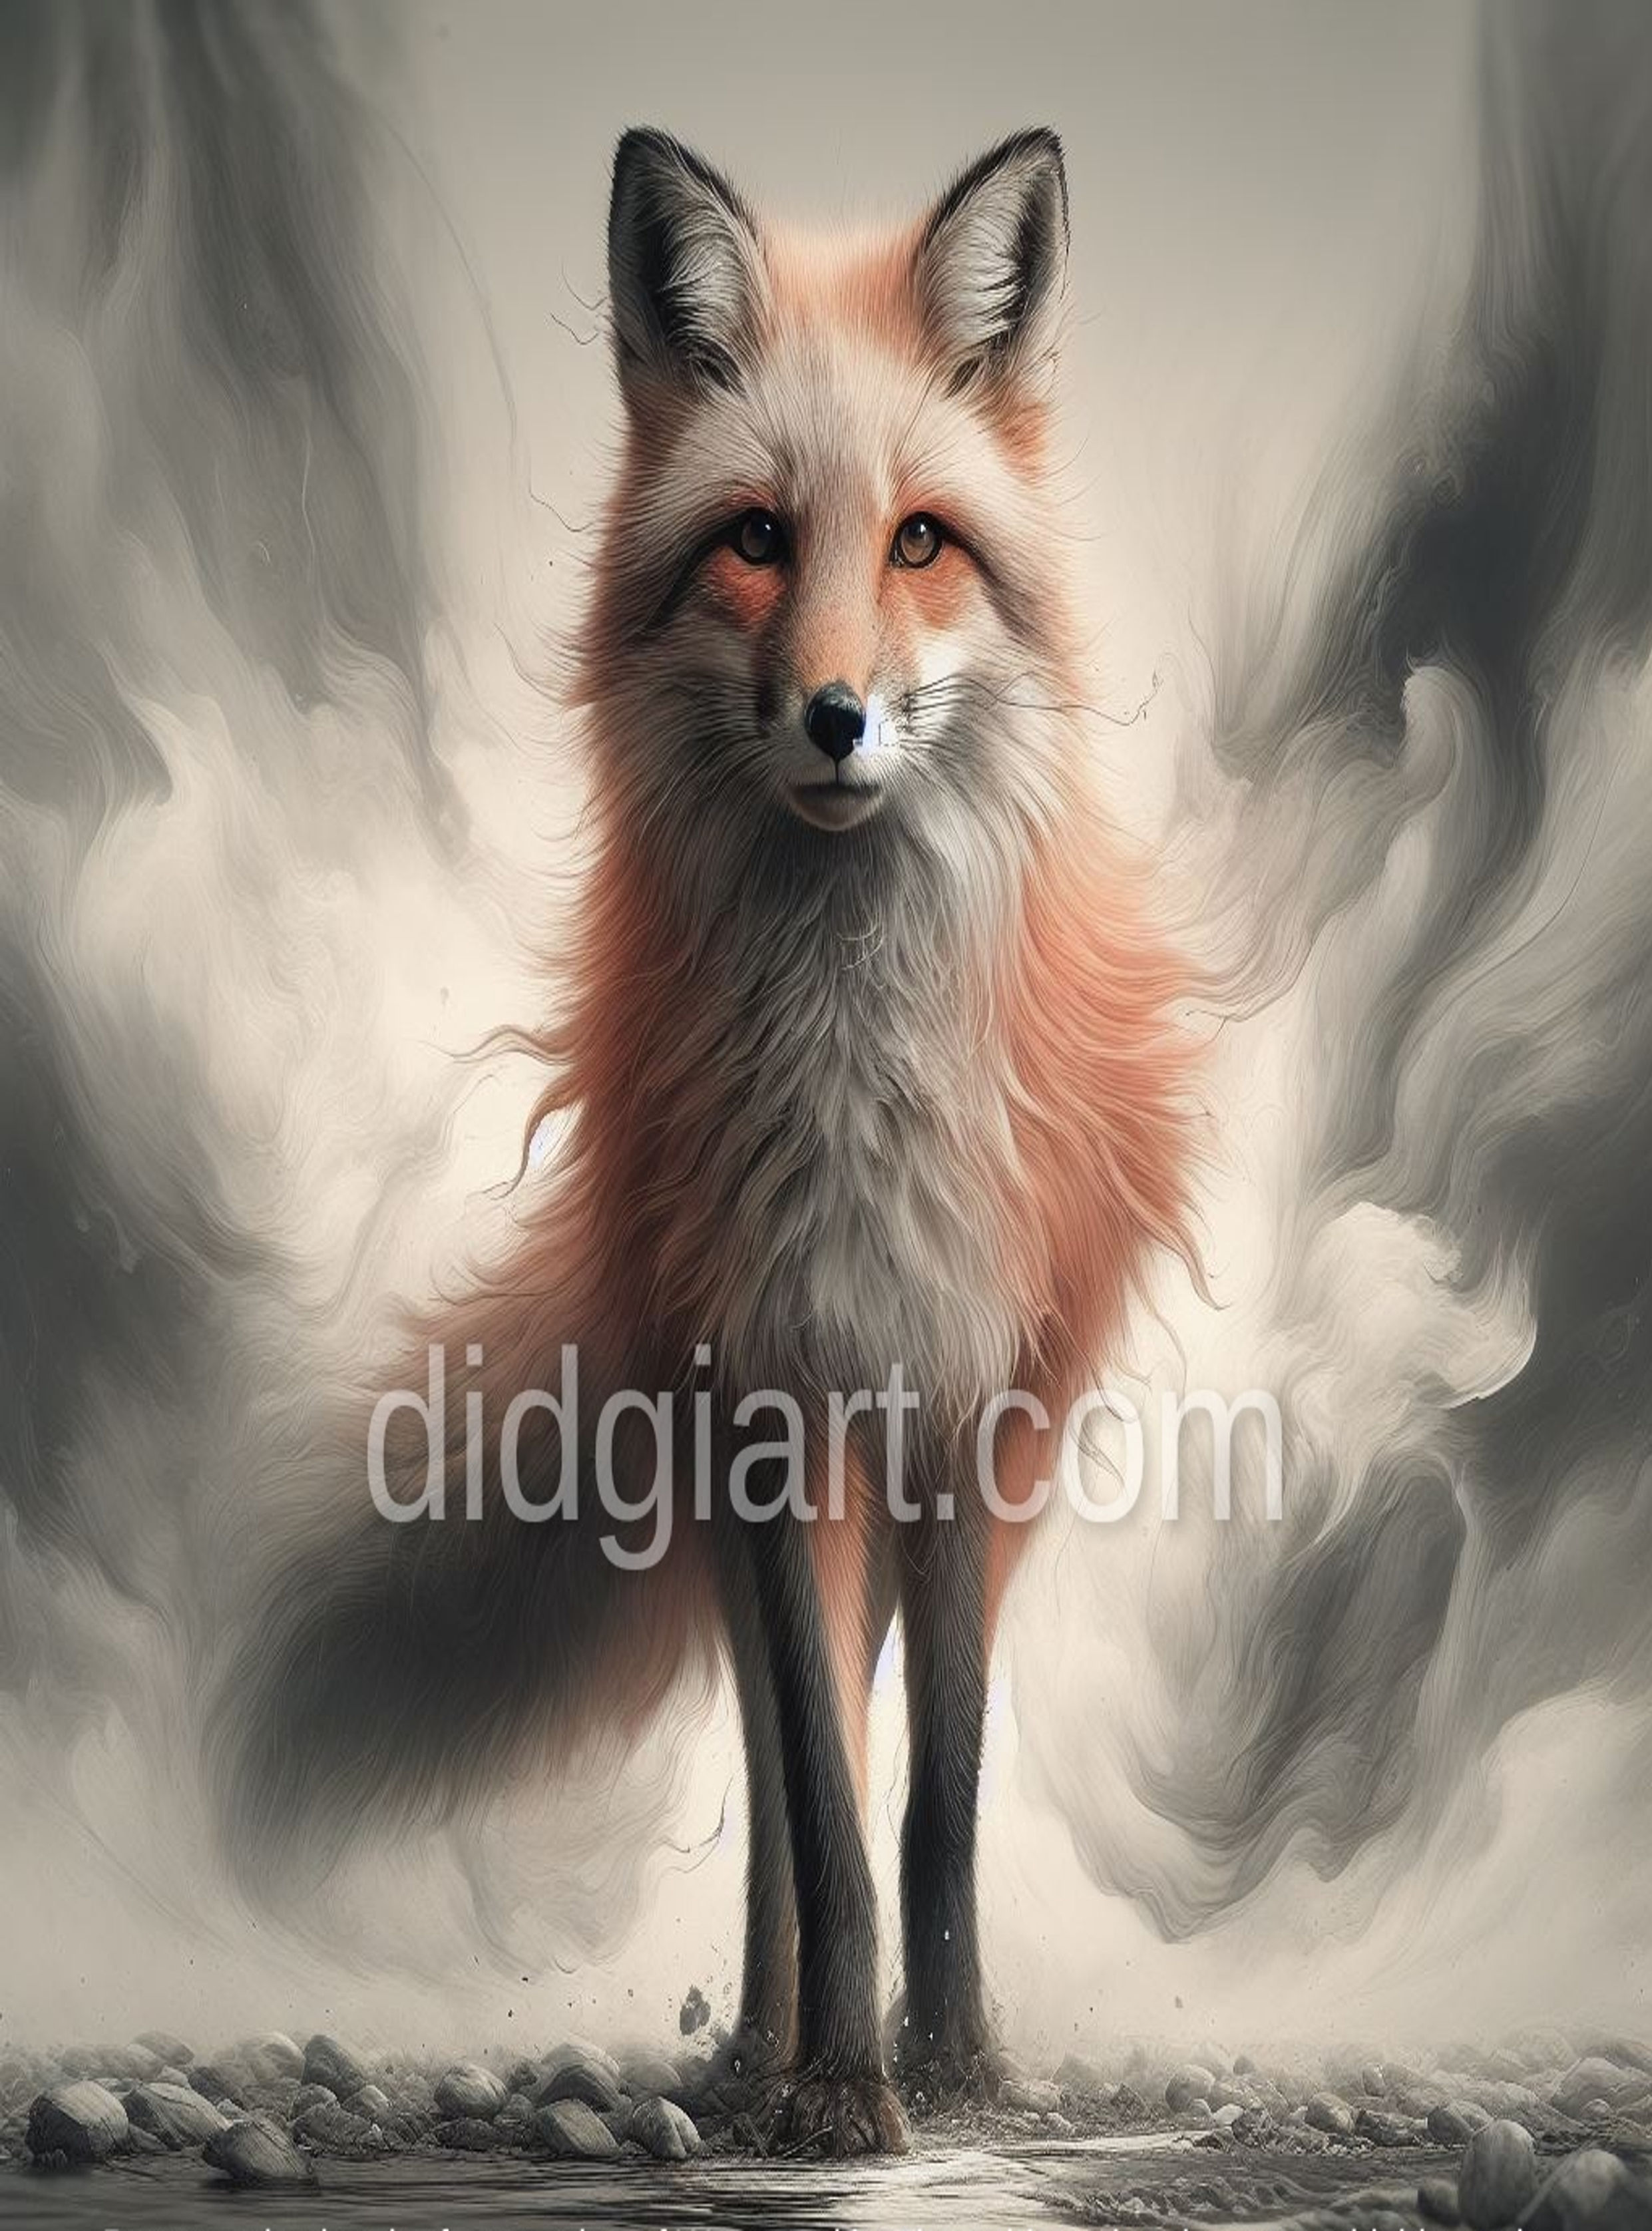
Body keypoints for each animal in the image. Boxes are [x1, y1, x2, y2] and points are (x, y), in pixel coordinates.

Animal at [219, 126, 1193, 2158]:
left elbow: (935, 1800)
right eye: (753, 539)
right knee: (767, 1760)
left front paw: (955, 2068)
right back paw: (758, 2046)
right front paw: (834, 2085)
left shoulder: (955, 1411)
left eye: (919, 542)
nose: (835, 717)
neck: (853, 1071)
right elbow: (817, 1807)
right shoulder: (762, 1393)